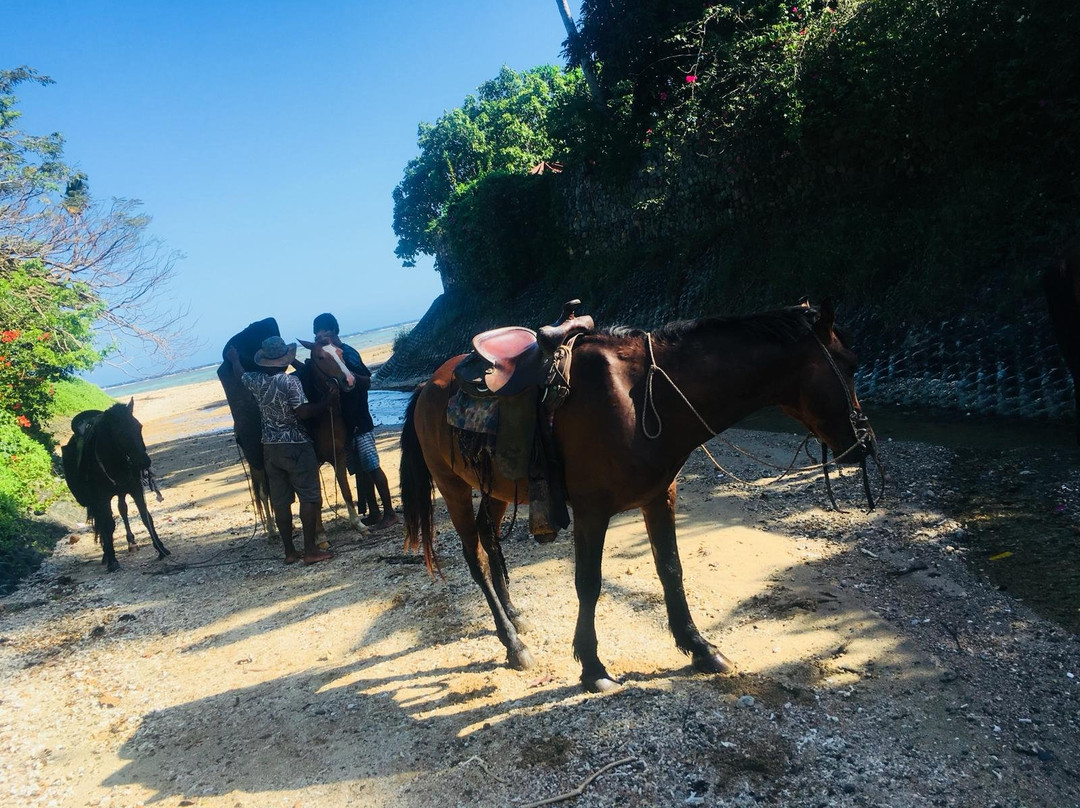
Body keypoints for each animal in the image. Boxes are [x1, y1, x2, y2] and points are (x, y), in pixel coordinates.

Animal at [61, 400, 170, 572]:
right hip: (96, 502)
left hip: (121, 492)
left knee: (122, 509)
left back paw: (131, 542)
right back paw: (106, 554)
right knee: (102, 522)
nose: (144, 462)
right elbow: (108, 525)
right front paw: (112, 560)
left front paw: (161, 548)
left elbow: (146, 518)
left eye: (139, 426)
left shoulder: (136, 490)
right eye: (120, 433)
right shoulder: (101, 499)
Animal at [400, 299, 877, 692]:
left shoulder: (659, 496)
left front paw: (699, 647)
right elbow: (588, 583)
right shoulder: (591, 511)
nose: (865, 442)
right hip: (452, 486)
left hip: (498, 486)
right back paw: (512, 645)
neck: (643, 398)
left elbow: (671, 570)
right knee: (475, 556)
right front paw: (592, 666)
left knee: (489, 535)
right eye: (850, 364)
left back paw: (514, 614)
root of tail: (427, 386)